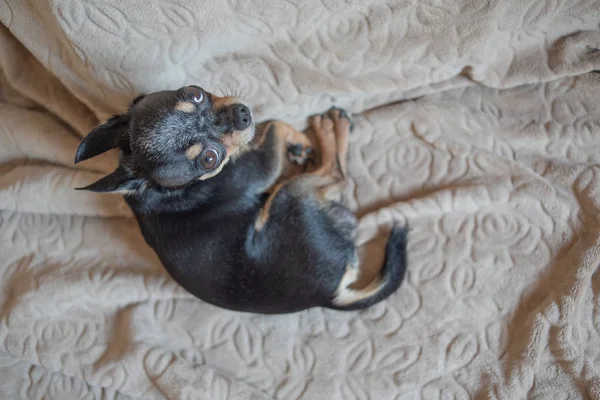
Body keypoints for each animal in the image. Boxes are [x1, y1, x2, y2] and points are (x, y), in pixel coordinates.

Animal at [72, 86, 406, 314]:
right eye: (209, 159)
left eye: (194, 94)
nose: (241, 114)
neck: (162, 191)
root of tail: (330, 296)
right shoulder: (259, 169)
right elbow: (275, 126)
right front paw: (302, 139)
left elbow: (267, 128)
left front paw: (298, 146)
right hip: (289, 196)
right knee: (337, 174)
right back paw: (331, 128)